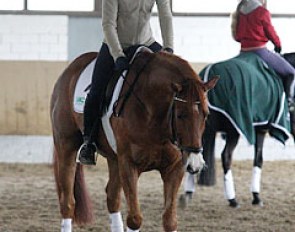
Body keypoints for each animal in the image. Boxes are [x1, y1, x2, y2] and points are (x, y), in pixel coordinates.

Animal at [50, 51, 217, 232]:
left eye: (206, 114)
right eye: (180, 115)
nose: (195, 164)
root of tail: (70, 69)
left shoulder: (175, 168)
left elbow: (170, 220)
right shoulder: (129, 165)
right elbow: (135, 219)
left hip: (114, 159)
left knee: (112, 198)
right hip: (67, 147)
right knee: (67, 203)